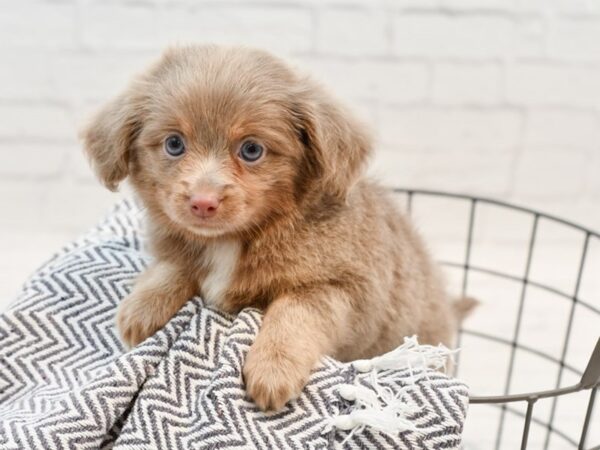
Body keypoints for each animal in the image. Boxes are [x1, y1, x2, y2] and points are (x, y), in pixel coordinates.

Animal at [82, 45, 462, 412]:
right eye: (174, 144)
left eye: (252, 150)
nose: (203, 202)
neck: (234, 241)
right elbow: (173, 264)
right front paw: (143, 307)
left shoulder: (343, 288)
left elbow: (294, 313)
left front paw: (273, 367)